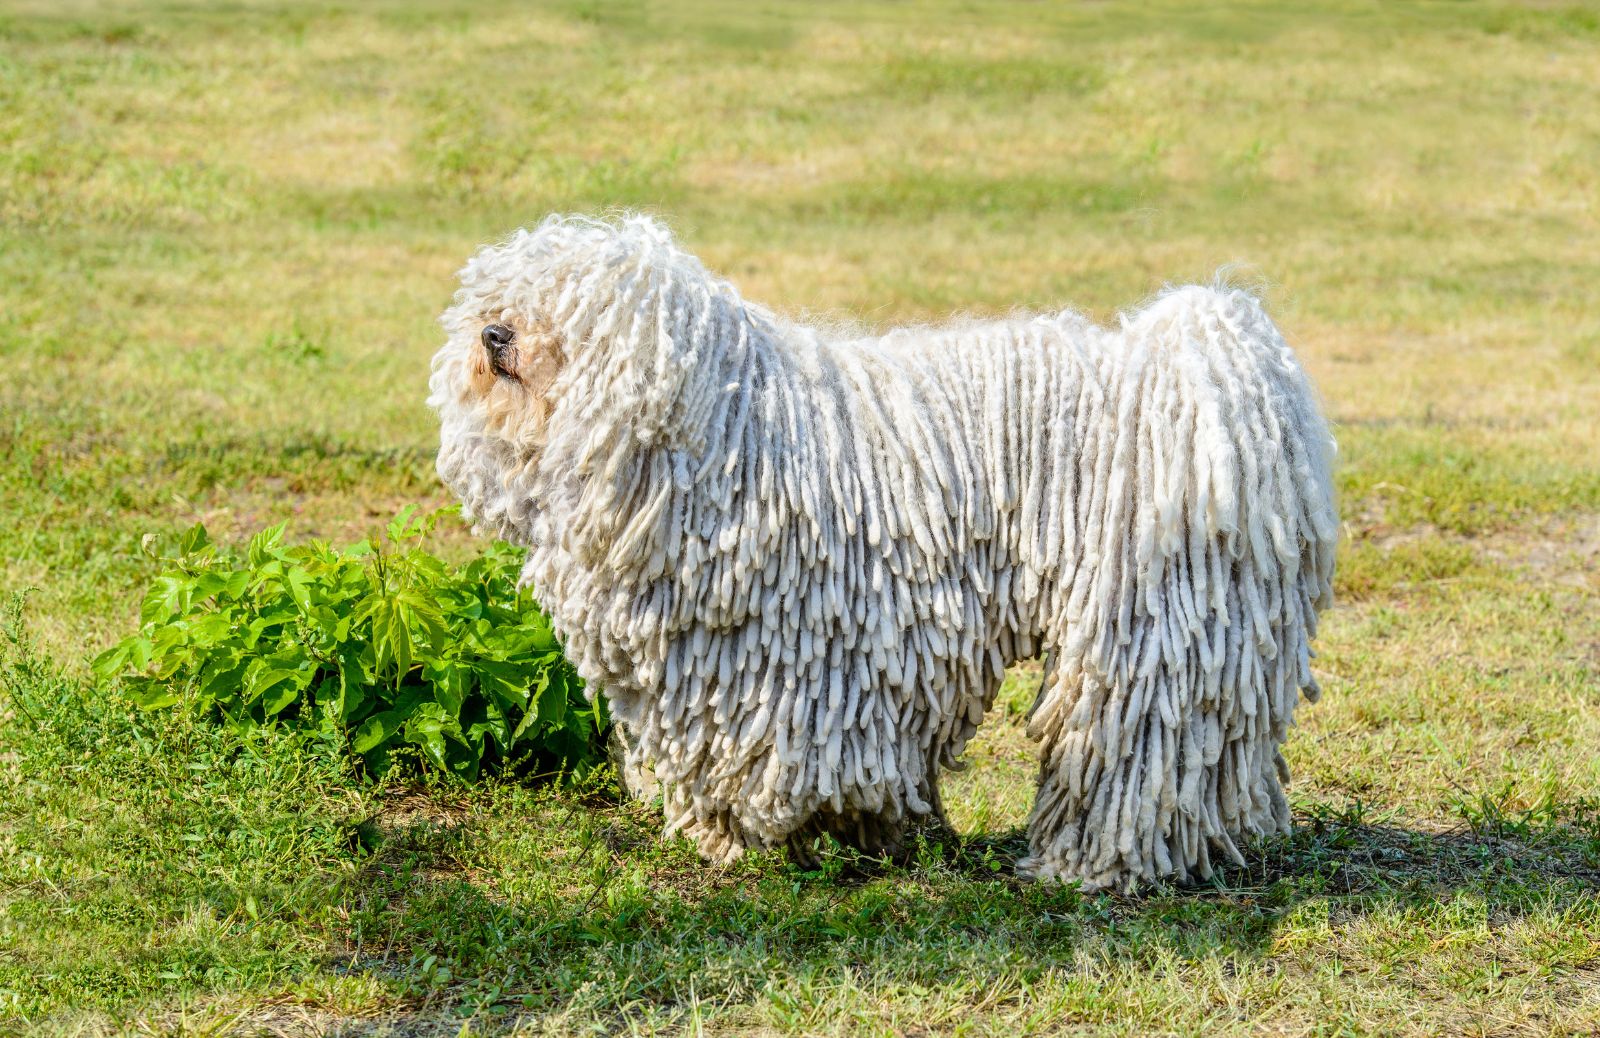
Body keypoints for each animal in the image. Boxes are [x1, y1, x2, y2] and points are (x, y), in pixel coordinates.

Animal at [428, 212, 1337, 889]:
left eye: (572, 310)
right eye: (503, 293)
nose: (495, 333)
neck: (717, 432)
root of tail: (1211, 375)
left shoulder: (797, 659)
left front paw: (781, 838)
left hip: (1145, 623)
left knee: (1133, 747)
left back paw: (1092, 865)